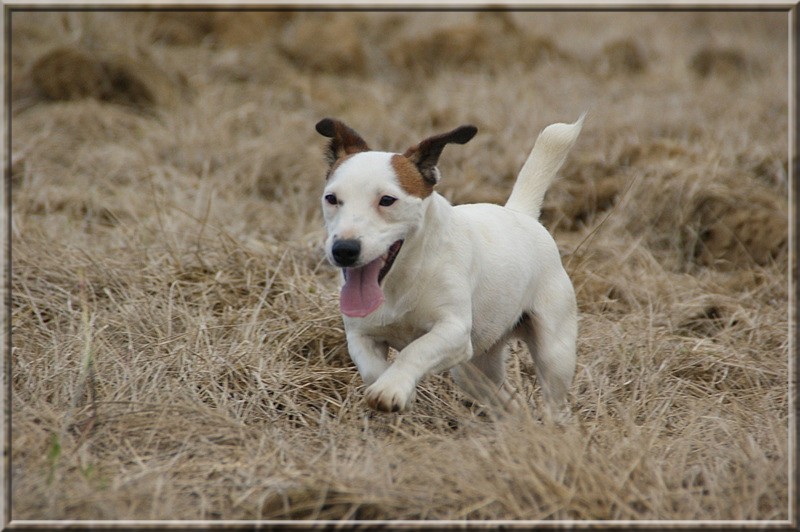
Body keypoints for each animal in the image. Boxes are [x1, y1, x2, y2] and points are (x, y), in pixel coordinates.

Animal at [316, 116, 584, 416]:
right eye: (331, 198)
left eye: (387, 200)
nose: (344, 250)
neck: (400, 280)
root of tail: (520, 213)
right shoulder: (360, 335)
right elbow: (373, 370)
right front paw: (395, 387)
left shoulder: (453, 331)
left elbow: (415, 350)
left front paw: (391, 388)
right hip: (474, 369)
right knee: (506, 398)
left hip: (554, 352)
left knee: (554, 399)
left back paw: (551, 423)